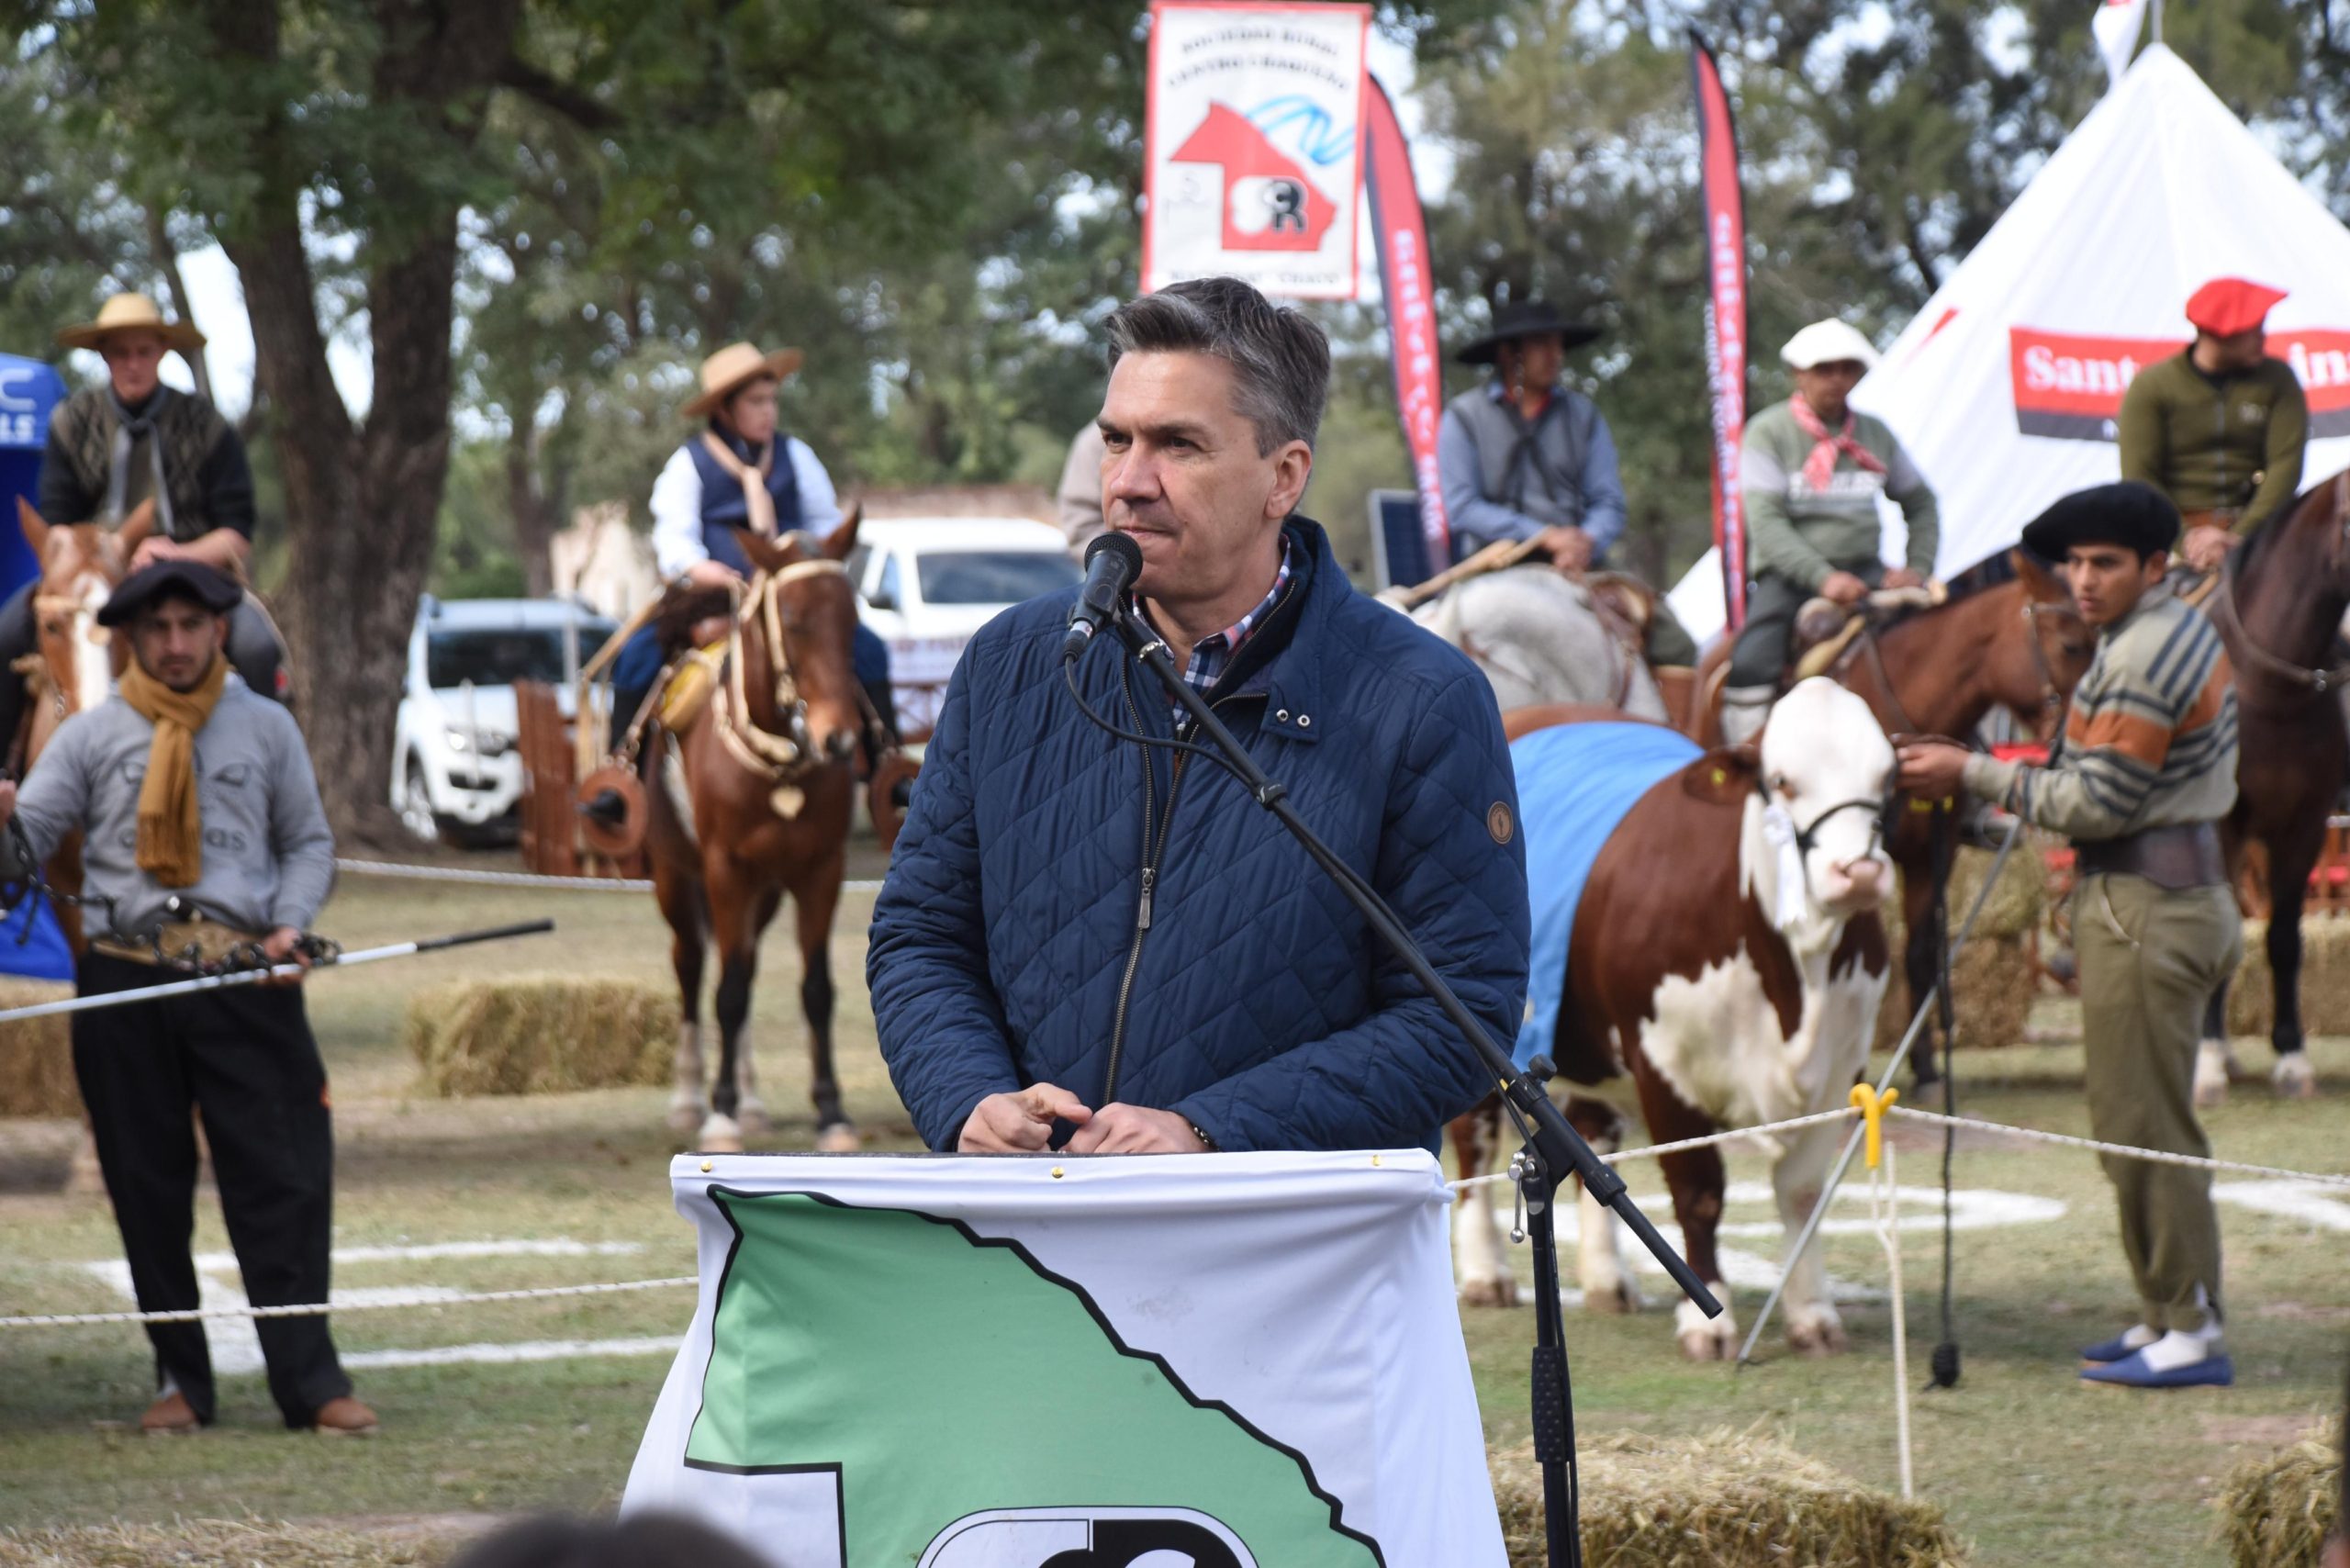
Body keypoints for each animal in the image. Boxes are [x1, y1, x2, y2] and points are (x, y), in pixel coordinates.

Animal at [643, 514, 874, 1151]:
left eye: (851, 619)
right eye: (791, 620)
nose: (838, 739)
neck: (777, 765)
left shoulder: (821, 871)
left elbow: (815, 990)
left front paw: (832, 1114)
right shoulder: (726, 870)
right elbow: (728, 991)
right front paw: (718, 1116)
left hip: (764, 892)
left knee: (739, 961)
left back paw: (749, 1101)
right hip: (677, 879)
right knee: (694, 965)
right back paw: (692, 1098)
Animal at [1457, 681, 1898, 1363]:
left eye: (1887, 778)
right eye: (1782, 780)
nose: (1860, 872)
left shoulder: (1841, 1068)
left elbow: (1802, 1192)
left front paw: (1814, 1315)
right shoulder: (1664, 1065)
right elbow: (1698, 1191)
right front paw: (1708, 1324)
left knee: (1590, 1131)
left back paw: (1608, 1280)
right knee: (1473, 1141)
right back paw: (1483, 1273)